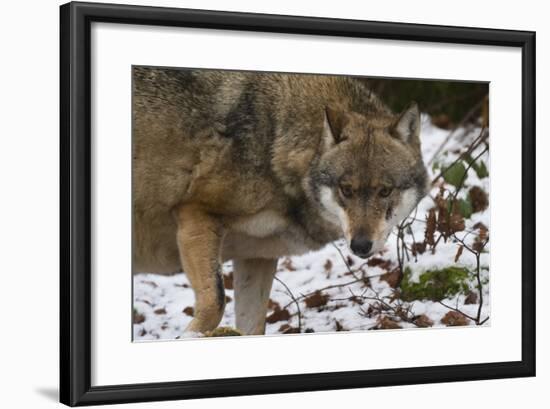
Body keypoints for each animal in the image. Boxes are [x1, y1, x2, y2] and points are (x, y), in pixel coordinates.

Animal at [134, 67, 432, 334]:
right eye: (346, 190)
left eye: (385, 191)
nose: (360, 245)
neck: (274, 140)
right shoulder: (196, 213)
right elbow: (215, 302)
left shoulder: (257, 257)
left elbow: (252, 327)